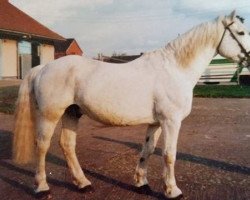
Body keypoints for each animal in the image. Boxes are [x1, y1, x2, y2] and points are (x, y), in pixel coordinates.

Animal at [12, 10, 250, 198]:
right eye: (240, 33)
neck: (174, 69)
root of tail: (42, 68)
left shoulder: (156, 122)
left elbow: (148, 149)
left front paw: (141, 183)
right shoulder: (171, 121)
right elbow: (169, 154)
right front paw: (172, 191)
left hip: (72, 112)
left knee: (67, 145)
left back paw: (83, 184)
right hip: (50, 115)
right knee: (42, 146)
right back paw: (42, 188)